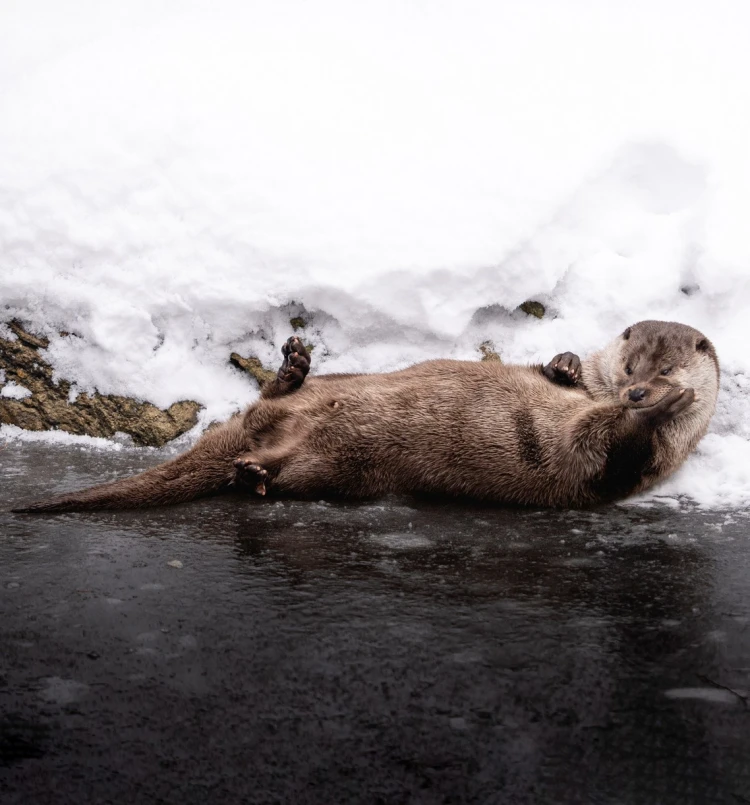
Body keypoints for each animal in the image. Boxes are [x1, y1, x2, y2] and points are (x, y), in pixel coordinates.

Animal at [10, 318, 716, 512]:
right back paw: (292, 366)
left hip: (335, 468)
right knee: (274, 394)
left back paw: (253, 477)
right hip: (331, 394)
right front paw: (564, 362)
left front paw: (668, 407)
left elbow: (614, 454)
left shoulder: (626, 465)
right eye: (632, 366)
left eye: (665, 370)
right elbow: (557, 377)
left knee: (282, 471)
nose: (640, 392)